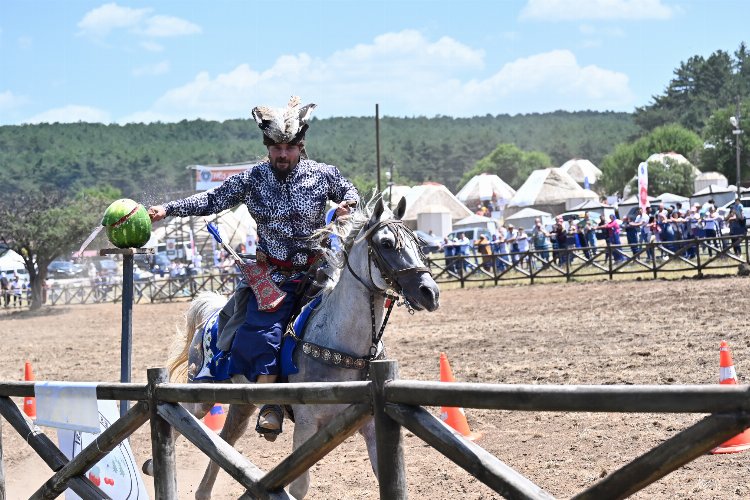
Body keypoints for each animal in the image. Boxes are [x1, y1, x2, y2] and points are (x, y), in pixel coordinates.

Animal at [156, 197, 444, 498]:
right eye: (386, 243)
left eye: (418, 243)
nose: (430, 292)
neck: (341, 343)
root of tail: (210, 317)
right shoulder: (306, 423)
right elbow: (299, 486)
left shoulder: (371, 423)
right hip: (202, 392)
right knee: (183, 416)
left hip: (241, 403)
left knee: (225, 439)